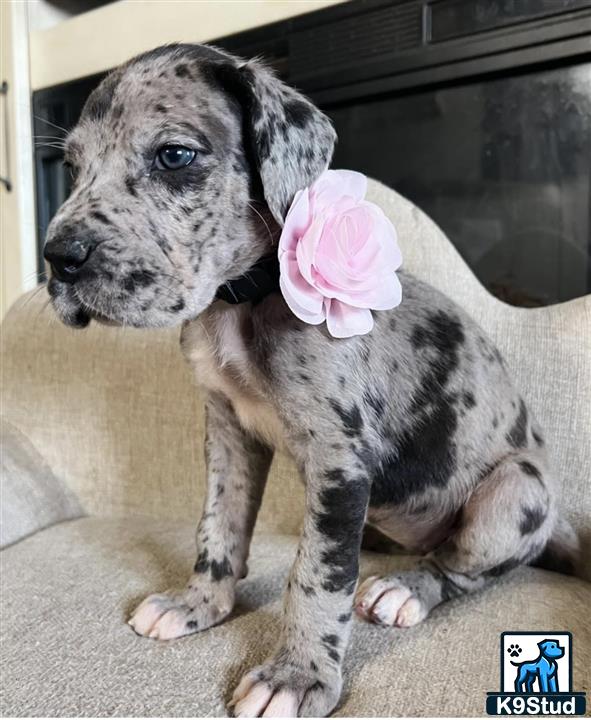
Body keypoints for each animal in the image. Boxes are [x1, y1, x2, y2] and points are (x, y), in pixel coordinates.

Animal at [44, 43, 580, 716]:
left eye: (174, 156)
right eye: (70, 166)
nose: (57, 259)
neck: (241, 300)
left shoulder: (338, 459)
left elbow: (319, 575)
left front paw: (297, 676)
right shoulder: (228, 433)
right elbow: (219, 525)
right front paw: (199, 605)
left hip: (515, 490)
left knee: (461, 566)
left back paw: (406, 588)